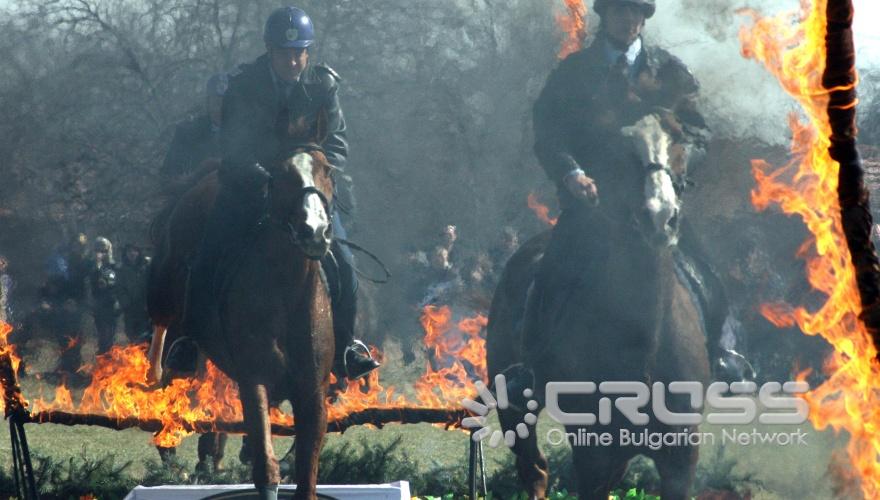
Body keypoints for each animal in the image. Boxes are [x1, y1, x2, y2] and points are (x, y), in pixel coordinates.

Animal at [146, 114, 336, 500]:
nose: (314, 231)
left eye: (326, 169)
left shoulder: (313, 392)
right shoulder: (255, 381)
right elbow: (266, 467)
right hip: (167, 301)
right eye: (281, 173)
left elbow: (306, 473)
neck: (286, 290)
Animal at [484, 114, 712, 500]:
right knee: (533, 469)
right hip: (514, 406)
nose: (659, 216)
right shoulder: (592, 451)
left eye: (679, 142)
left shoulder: (680, 458)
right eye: (619, 148)